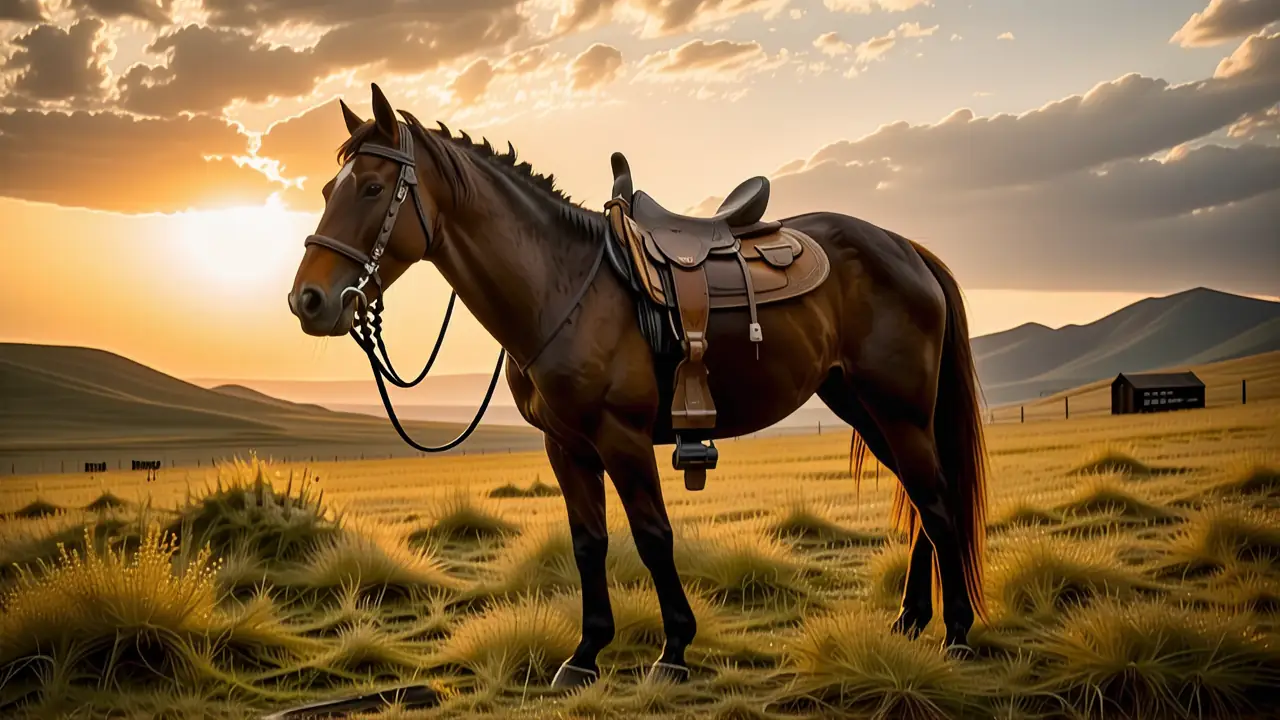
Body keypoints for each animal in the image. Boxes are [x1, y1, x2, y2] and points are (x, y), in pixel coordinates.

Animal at [287, 83, 990, 688]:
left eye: (372, 187)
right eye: (326, 187)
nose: (308, 301)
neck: (561, 284)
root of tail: (904, 247)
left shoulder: (620, 438)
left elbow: (653, 536)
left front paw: (674, 649)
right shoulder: (567, 447)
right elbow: (588, 543)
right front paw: (585, 655)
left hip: (899, 410)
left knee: (936, 504)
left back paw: (956, 632)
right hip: (864, 407)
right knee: (921, 505)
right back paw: (910, 621)